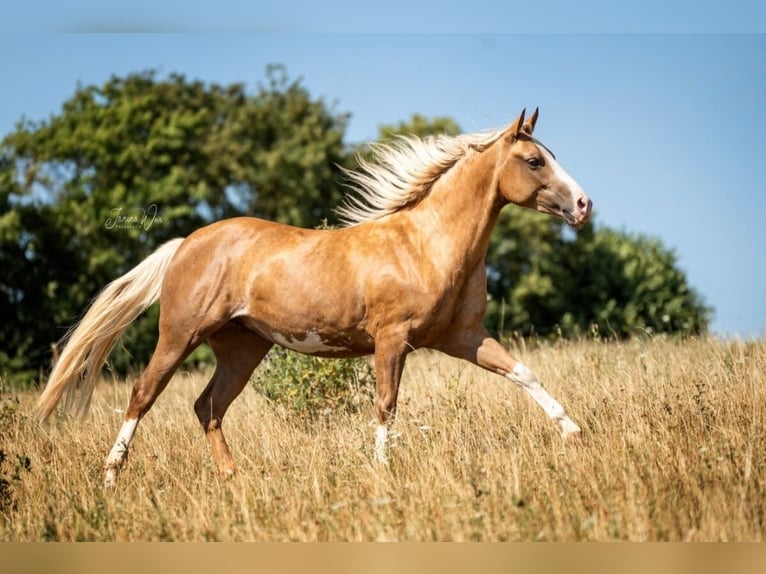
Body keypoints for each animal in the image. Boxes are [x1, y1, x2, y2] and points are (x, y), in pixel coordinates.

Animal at [36, 108, 592, 487]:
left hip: (242, 348)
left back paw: (234, 479)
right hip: (180, 335)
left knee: (206, 406)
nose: (584, 205)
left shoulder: (464, 338)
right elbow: (386, 406)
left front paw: (575, 433)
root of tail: (186, 243)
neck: (426, 244)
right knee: (143, 395)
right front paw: (382, 470)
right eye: (534, 160)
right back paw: (111, 475)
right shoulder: (392, 341)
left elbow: (523, 373)